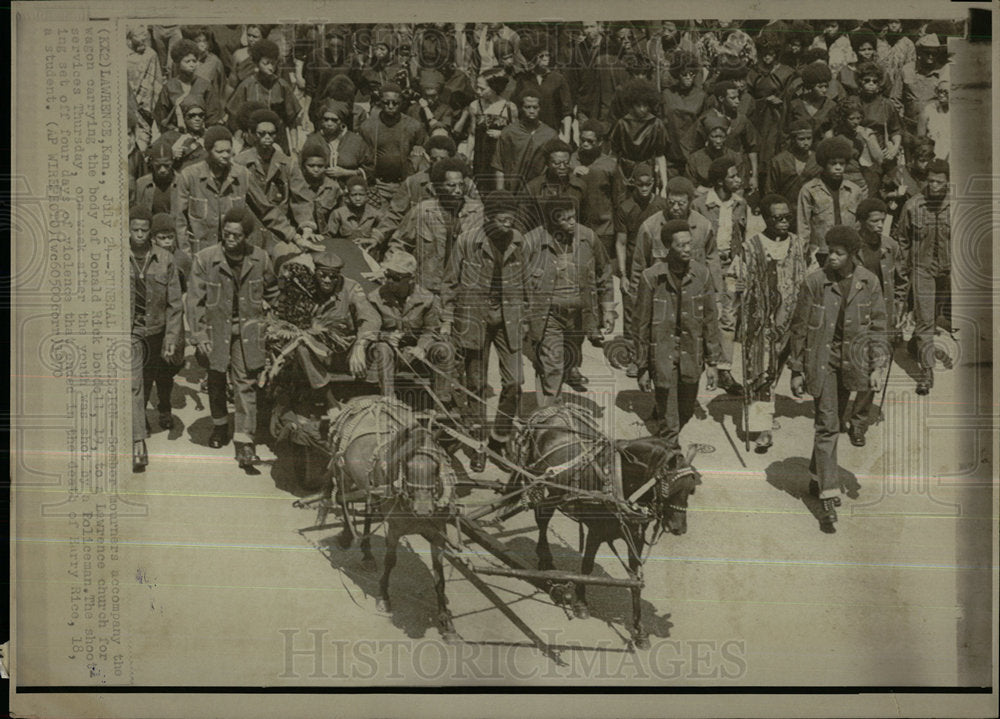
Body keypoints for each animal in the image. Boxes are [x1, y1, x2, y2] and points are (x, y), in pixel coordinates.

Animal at [322, 396, 458, 644]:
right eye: (406, 466)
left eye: (436, 468)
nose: (423, 510)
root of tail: (365, 399)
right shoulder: (394, 530)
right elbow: (390, 561)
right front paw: (384, 597)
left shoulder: (438, 533)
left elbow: (439, 573)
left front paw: (445, 620)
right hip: (342, 471)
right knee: (342, 501)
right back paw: (346, 537)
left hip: (369, 487)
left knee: (367, 512)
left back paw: (366, 553)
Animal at [512, 404, 700, 652]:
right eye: (670, 487)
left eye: (691, 489)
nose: (679, 528)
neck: (618, 482)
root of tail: (550, 409)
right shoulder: (595, 532)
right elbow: (587, 567)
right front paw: (581, 604)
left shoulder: (635, 538)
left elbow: (635, 579)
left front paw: (639, 630)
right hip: (543, 484)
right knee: (542, 521)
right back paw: (545, 560)